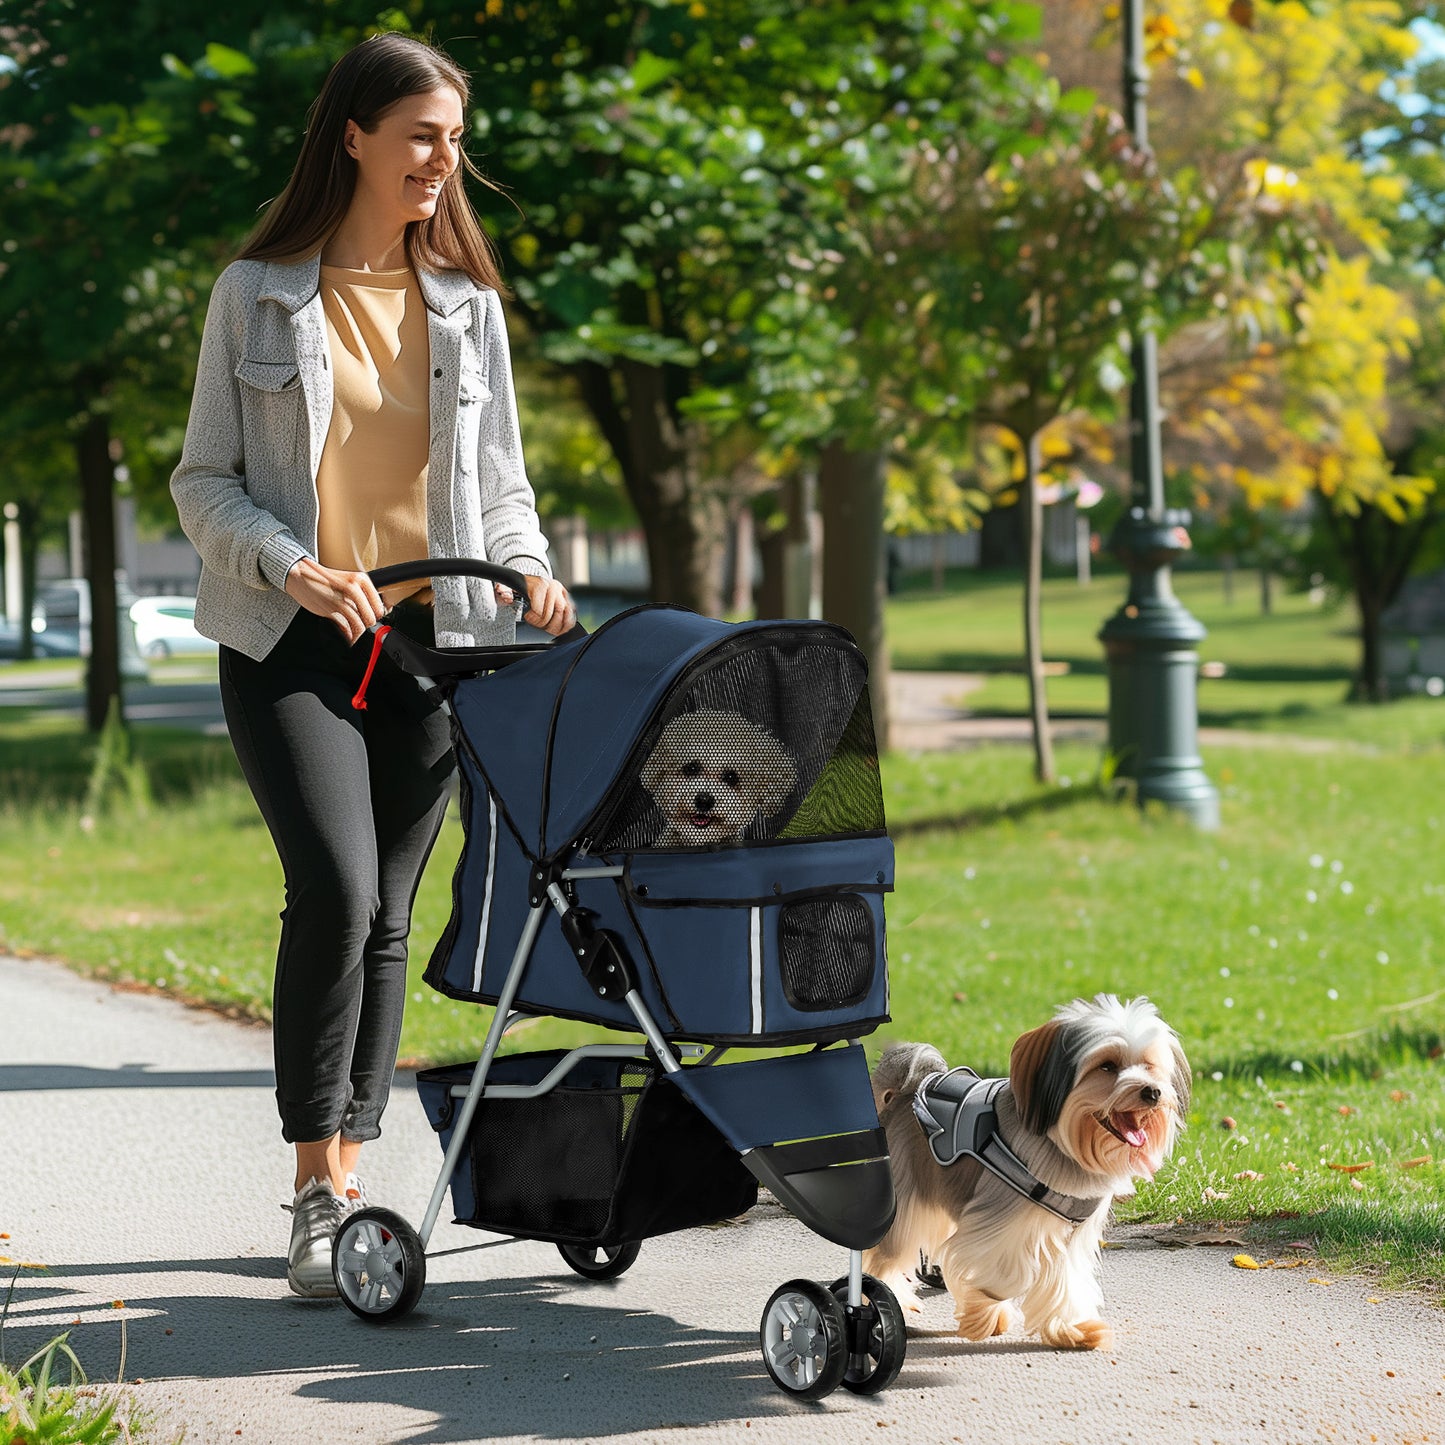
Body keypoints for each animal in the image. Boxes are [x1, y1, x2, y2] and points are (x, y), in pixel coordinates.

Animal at [867, 994, 1184, 1352]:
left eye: (1149, 1065)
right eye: (1107, 1065)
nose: (1153, 1092)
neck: (1064, 1143)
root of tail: (905, 1093)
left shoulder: (1070, 1237)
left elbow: (1065, 1281)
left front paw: (1072, 1329)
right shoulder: (995, 1223)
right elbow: (1004, 1275)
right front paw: (982, 1314)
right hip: (909, 1207)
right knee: (886, 1257)